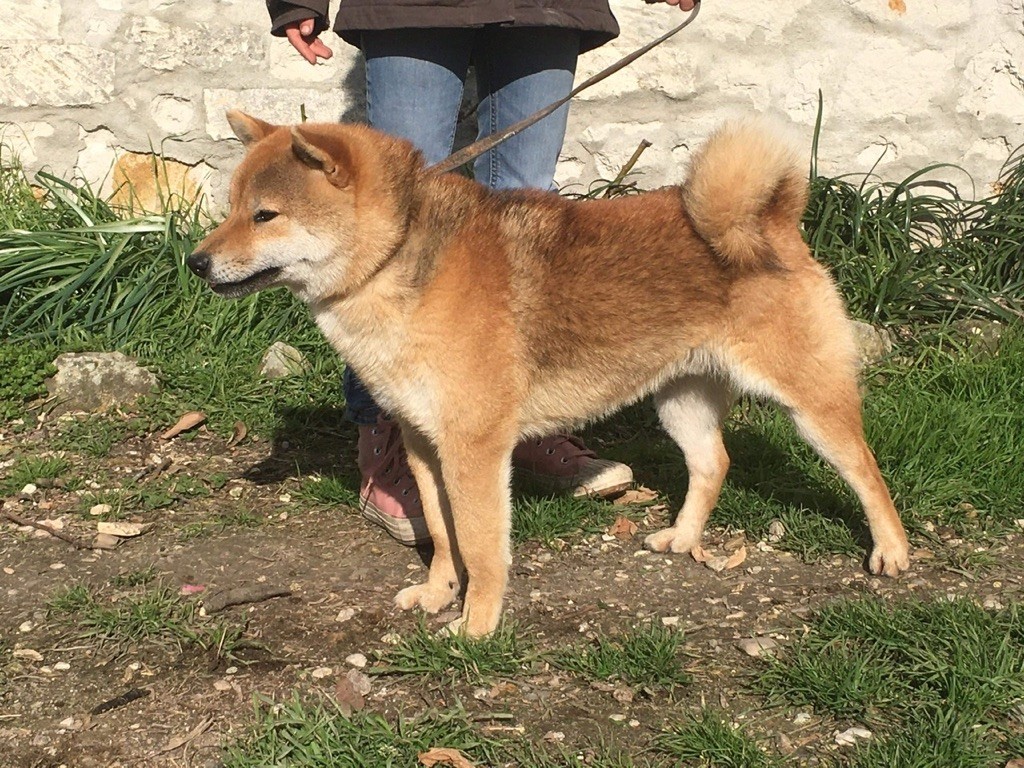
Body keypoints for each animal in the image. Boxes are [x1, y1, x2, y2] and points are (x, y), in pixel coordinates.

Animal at [192, 109, 913, 638]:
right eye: (230, 207)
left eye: (265, 215)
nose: (196, 262)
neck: (395, 262)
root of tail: (774, 221)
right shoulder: (425, 443)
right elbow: (443, 536)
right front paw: (437, 593)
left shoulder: (475, 449)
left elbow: (482, 547)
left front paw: (476, 627)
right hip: (679, 401)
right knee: (714, 463)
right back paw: (683, 538)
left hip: (811, 405)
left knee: (866, 470)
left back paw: (892, 551)